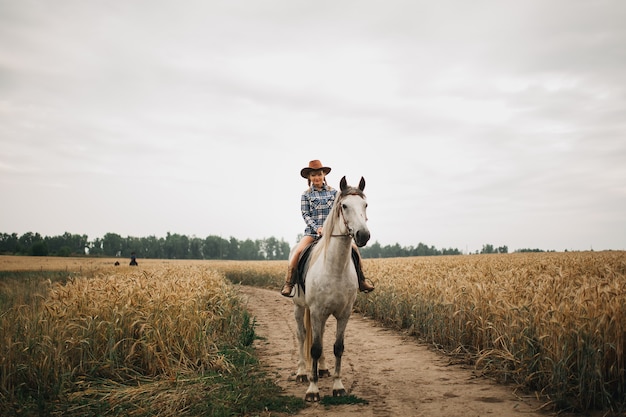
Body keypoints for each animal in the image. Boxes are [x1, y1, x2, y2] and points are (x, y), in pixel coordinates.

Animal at [290, 175, 368, 400]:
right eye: (344, 205)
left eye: (365, 205)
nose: (363, 235)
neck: (335, 268)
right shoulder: (316, 311)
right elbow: (314, 349)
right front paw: (312, 389)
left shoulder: (344, 314)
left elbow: (337, 347)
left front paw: (338, 386)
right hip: (300, 307)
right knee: (302, 335)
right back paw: (301, 373)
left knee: (321, 336)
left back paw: (323, 369)